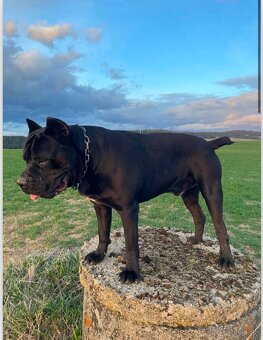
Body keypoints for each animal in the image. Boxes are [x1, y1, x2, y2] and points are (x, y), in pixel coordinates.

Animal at [17, 117, 235, 282]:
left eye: (43, 160)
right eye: (25, 159)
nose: (20, 182)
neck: (91, 156)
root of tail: (208, 143)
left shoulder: (128, 209)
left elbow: (131, 243)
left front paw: (132, 272)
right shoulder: (100, 206)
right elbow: (102, 233)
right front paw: (99, 255)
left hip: (211, 191)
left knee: (219, 225)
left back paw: (226, 258)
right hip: (189, 195)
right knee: (200, 216)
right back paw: (196, 240)